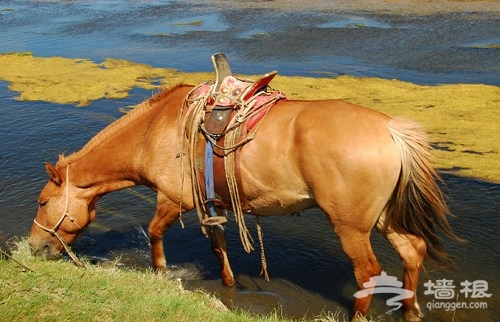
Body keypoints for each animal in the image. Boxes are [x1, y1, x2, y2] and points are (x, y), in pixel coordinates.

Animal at [29, 82, 456, 320]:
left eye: (43, 201)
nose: (33, 247)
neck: (153, 132)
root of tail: (390, 129)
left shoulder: (172, 200)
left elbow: (154, 233)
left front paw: (161, 273)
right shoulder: (212, 206)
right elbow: (218, 247)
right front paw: (228, 282)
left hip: (351, 226)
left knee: (367, 271)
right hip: (383, 218)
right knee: (413, 251)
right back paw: (411, 310)